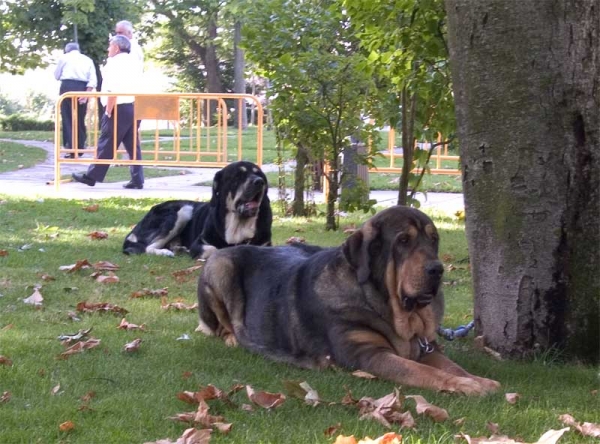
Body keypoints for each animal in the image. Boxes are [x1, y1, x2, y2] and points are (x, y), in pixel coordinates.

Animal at [123, 160, 274, 258]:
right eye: (238, 176)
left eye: (259, 174)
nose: (259, 181)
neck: (238, 225)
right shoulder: (200, 243)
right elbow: (214, 249)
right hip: (184, 210)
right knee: (148, 247)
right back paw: (166, 252)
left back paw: (178, 249)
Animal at [197, 206, 502, 396]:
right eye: (403, 240)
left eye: (434, 239)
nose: (437, 269)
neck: (385, 306)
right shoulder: (368, 355)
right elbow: (422, 371)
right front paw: (466, 386)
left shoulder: (428, 348)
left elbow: (451, 367)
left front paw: (478, 381)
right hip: (220, 266)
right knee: (220, 325)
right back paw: (232, 337)